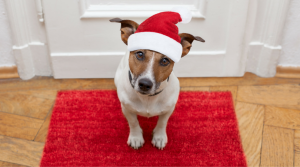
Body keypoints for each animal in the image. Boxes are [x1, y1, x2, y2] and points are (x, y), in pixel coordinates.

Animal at [111, 13, 205, 149]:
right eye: (140, 54)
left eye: (165, 60)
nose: (145, 84)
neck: (148, 99)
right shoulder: (126, 108)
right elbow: (133, 122)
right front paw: (136, 137)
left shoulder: (169, 109)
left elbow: (162, 122)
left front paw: (159, 137)